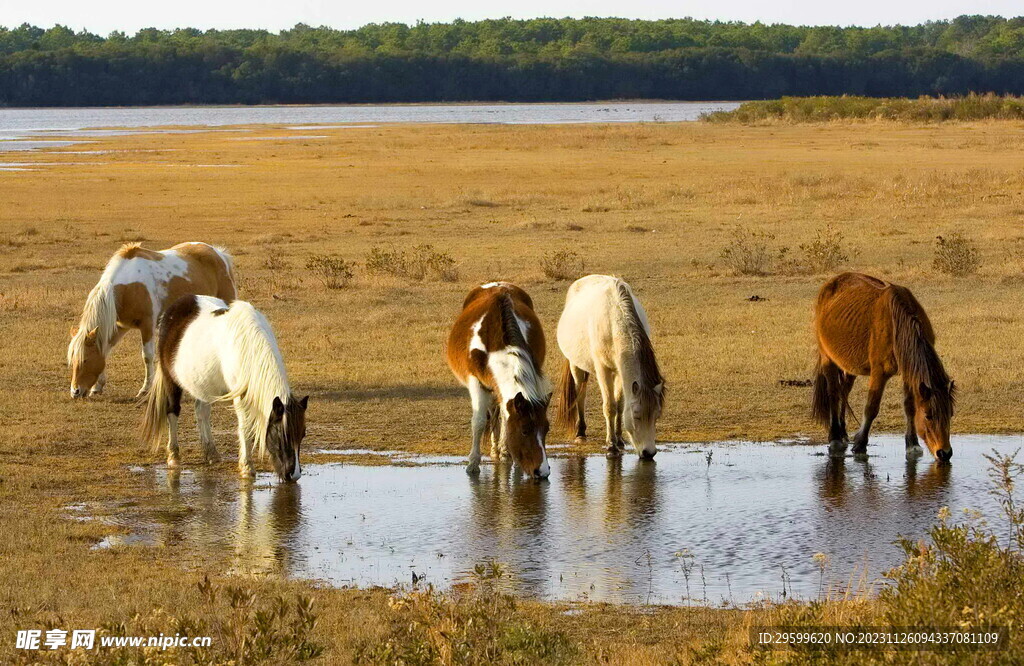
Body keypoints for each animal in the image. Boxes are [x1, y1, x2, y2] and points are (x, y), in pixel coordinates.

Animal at [67, 240, 234, 397]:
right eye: (72, 360)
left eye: (85, 359)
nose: (75, 391)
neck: (128, 288)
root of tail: (218, 253)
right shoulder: (120, 327)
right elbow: (105, 350)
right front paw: (97, 387)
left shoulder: (147, 325)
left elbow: (147, 356)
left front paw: (145, 389)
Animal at [141, 295, 307, 477]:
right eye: (282, 435)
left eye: (302, 435)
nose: (294, 474)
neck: (247, 344)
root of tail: (173, 309)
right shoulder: (241, 397)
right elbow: (245, 427)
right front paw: (246, 467)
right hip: (170, 379)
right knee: (173, 411)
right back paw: (173, 456)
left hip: (202, 384)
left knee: (202, 412)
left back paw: (211, 453)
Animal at [448, 280, 552, 477]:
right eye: (524, 430)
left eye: (546, 428)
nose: (542, 471)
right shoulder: (476, 382)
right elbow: (479, 421)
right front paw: (473, 463)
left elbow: (505, 417)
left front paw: (509, 455)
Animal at [557, 274, 667, 456]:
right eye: (637, 415)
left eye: (656, 416)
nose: (649, 453)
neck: (613, 320)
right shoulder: (604, 371)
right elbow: (610, 406)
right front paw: (610, 444)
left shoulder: (621, 371)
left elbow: (620, 405)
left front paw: (619, 439)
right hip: (575, 366)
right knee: (581, 394)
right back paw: (580, 432)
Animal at [811, 272, 954, 459]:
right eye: (928, 415)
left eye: (950, 414)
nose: (944, 453)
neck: (897, 325)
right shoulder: (879, 372)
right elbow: (871, 407)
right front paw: (860, 443)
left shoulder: (908, 372)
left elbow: (909, 407)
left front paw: (912, 444)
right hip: (828, 358)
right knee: (834, 393)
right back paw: (835, 437)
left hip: (849, 366)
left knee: (844, 392)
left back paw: (843, 434)